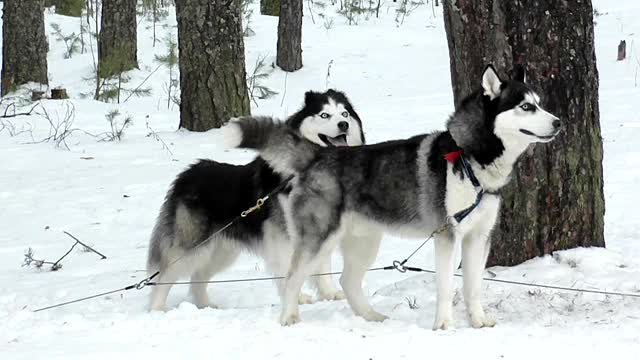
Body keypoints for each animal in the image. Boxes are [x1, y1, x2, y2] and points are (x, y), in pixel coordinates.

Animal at [146, 88, 364, 310]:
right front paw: (298, 298)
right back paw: (157, 309)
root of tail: (187, 173)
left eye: (345, 114)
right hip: (192, 244)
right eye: (324, 115)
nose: (343, 125)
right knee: (165, 275)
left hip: (221, 250)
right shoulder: (281, 235)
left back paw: (206, 306)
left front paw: (329, 293)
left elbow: (322, 265)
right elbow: (288, 267)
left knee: (198, 276)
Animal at [228, 65, 564, 330]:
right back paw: (289, 319)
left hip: (364, 241)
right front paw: (444, 326)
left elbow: (473, 286)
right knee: (291, 278)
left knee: (347, 281)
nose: (559, 122)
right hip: (318, 238)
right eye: (525, 107)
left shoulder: (479, 236)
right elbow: (446, 286)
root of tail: (320, 154)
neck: (470, 160)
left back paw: (371, 317)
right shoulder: (447, 235)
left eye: (539, 104)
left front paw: (478, 322)